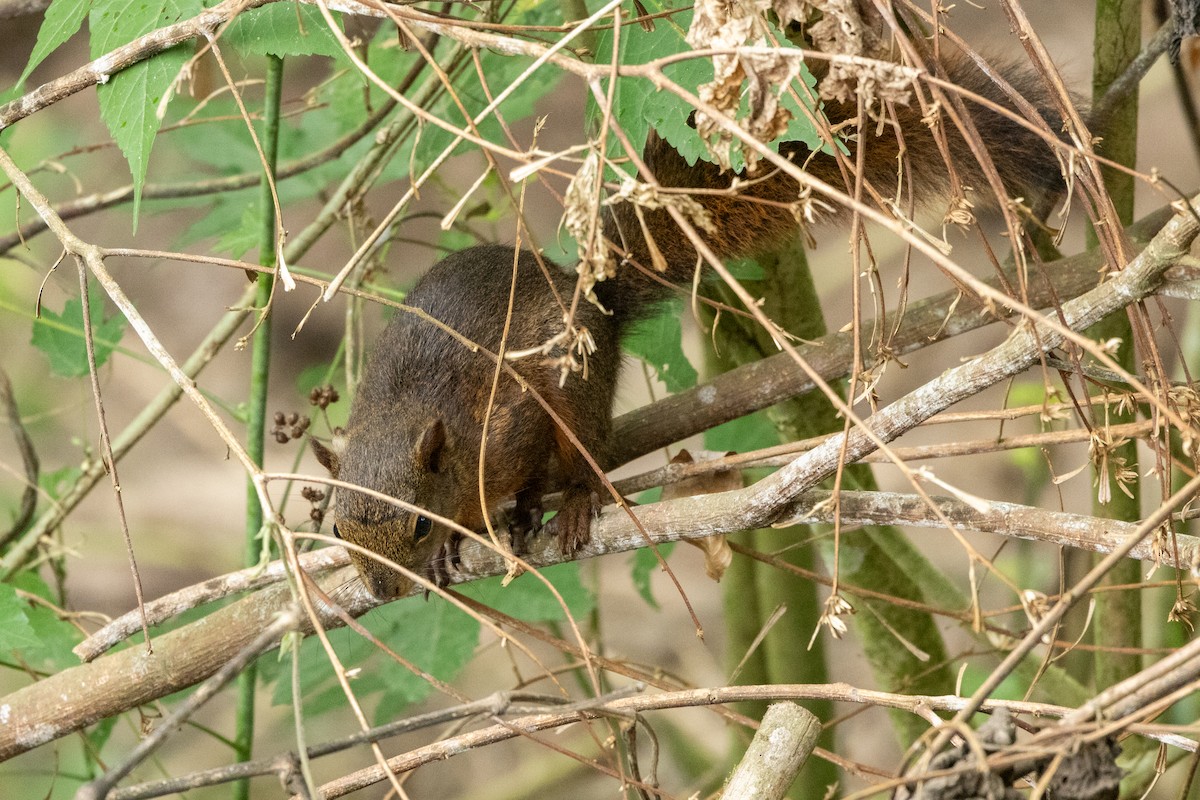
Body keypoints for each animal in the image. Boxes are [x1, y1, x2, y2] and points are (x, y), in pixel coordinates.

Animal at [311, 46, 1073, 600]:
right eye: (339, 529)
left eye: (416, 522)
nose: (380, 592)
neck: (412, 417)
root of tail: (591, 297)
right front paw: (455, 545)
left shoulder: (506, 422)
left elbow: (527, 466)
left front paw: (503, 518)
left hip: (578, 384)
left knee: (584, 449)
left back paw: (571, 502)